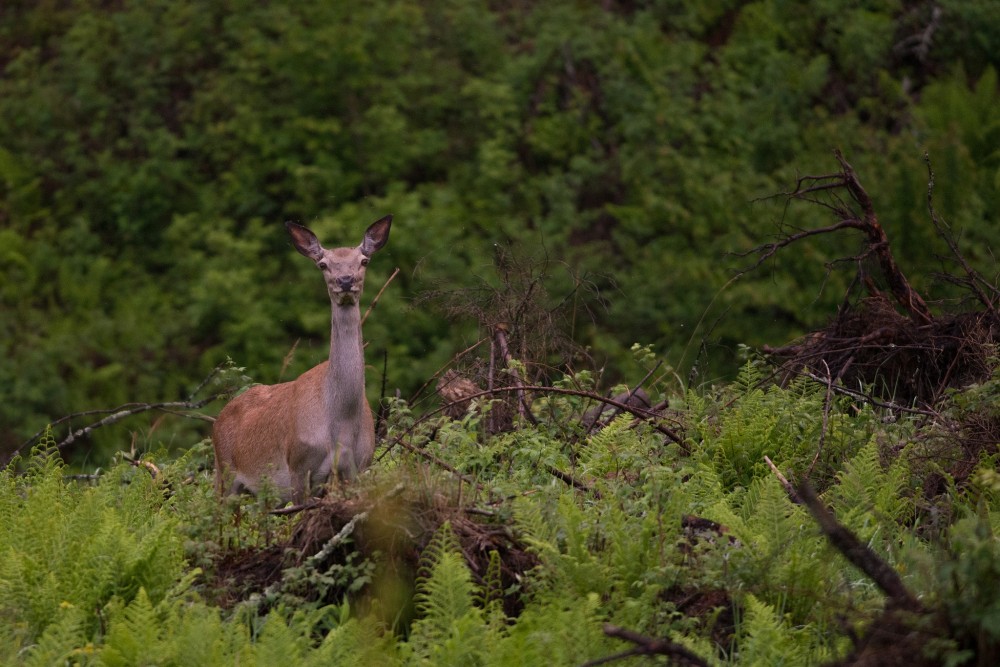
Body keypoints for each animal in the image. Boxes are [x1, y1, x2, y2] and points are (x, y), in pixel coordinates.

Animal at [213, 214, 392, 500]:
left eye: (364, 260)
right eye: (323, 264)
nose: (345, 280)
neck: (341, 424)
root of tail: (217, 420)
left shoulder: (359, 467)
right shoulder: (298, 466)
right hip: (225, 474)